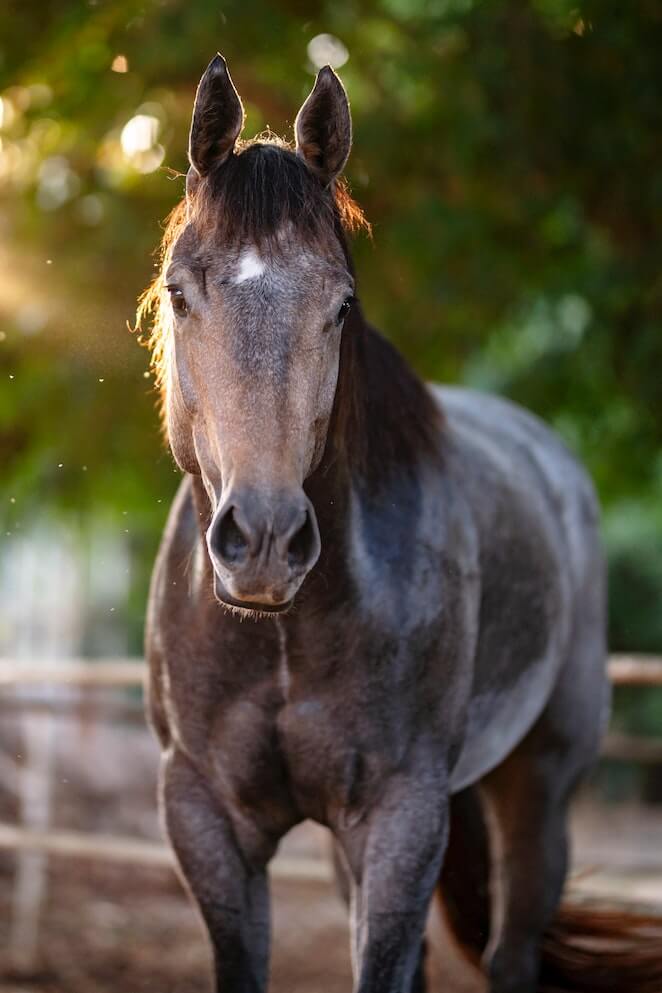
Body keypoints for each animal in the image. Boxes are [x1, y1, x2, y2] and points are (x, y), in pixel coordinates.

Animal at [139, 55, 660, 993]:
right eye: (178, 293)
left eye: (341, 305)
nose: (265, 541)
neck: (283, 633)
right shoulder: (204, 818)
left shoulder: (403, 816)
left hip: (540, 789)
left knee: (512, 949)